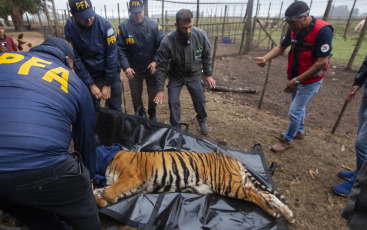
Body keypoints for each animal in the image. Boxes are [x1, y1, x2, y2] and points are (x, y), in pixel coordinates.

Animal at [92, 150, 296, 224]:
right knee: (265, 194)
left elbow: (109, 192)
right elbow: (97, 192)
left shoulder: (131, 177)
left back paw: (275, 213)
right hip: (240, 181)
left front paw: (105, 200)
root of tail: (232, 157)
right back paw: (288, 214)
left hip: (229, 183)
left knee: (255, 195)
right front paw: (100, 201)